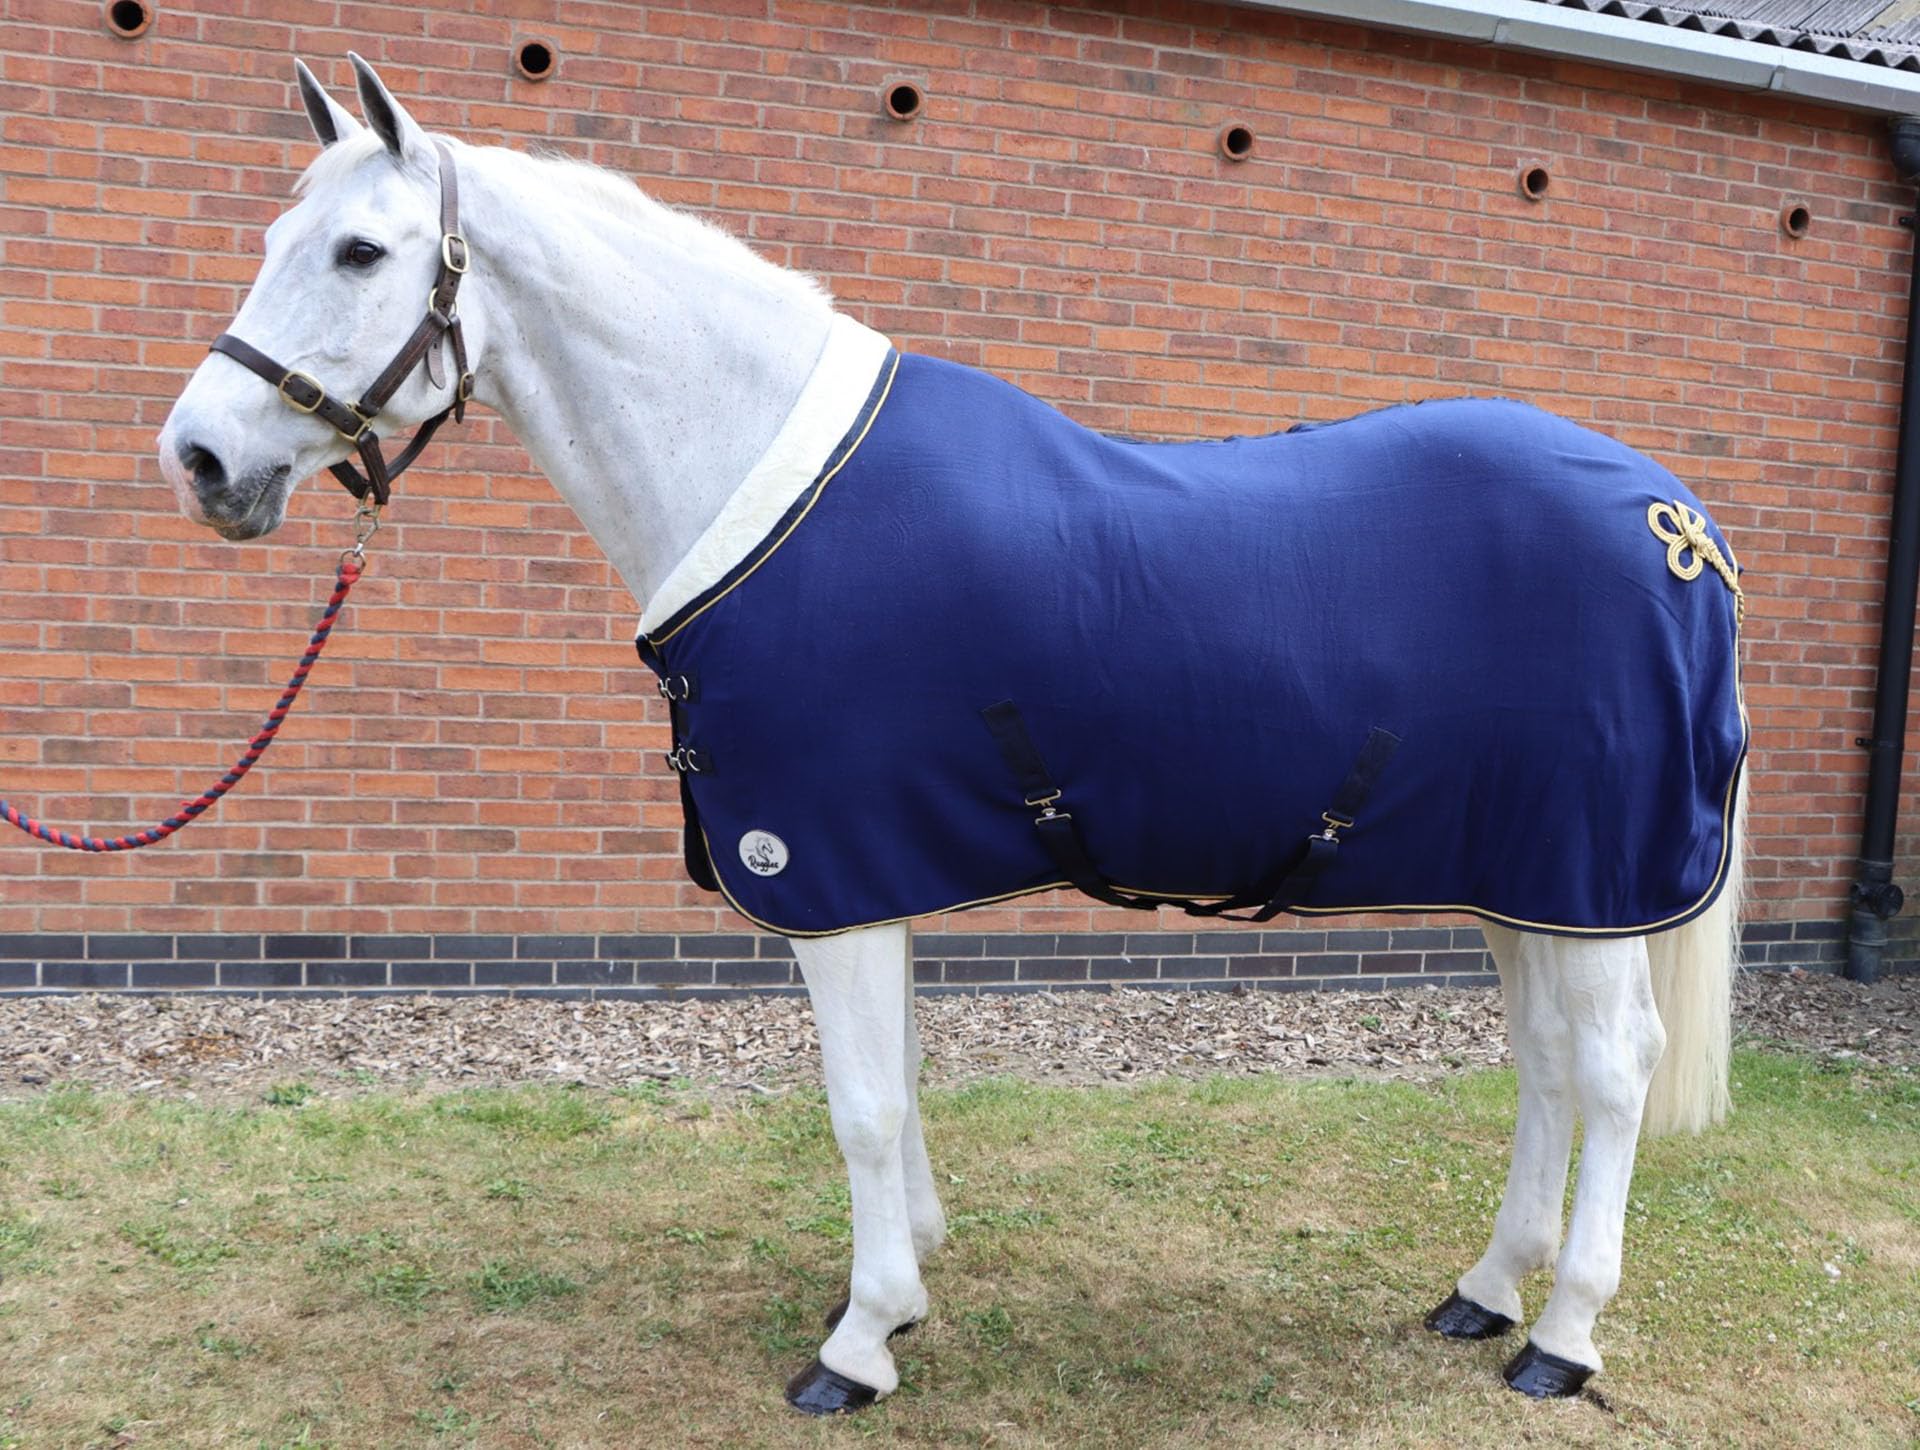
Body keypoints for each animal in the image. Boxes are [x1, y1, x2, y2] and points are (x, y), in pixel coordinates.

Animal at [156, 56, 1748, 1414]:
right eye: (276, 232)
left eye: (362, 253)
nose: (200, 458)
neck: (759, 481)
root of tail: (1677, 526)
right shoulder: (879, 866)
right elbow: (904, 1084)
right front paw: (905, 1281)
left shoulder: (831, 869)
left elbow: (862, 1103)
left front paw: (858, 1343)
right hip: (1527, 880)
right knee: (1546, 1064)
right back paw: (1486, 1289)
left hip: (1590, 876)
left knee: (1610, 1071)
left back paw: (1561, 1334)